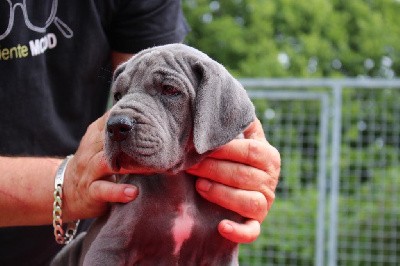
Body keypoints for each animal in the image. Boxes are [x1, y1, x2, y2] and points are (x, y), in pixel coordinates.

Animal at [51, 43, 255, 266]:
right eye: (118, 95)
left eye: (170, 90)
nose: (115, 126)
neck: (178, 181)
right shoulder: (109, 246)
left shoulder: (220, 252)